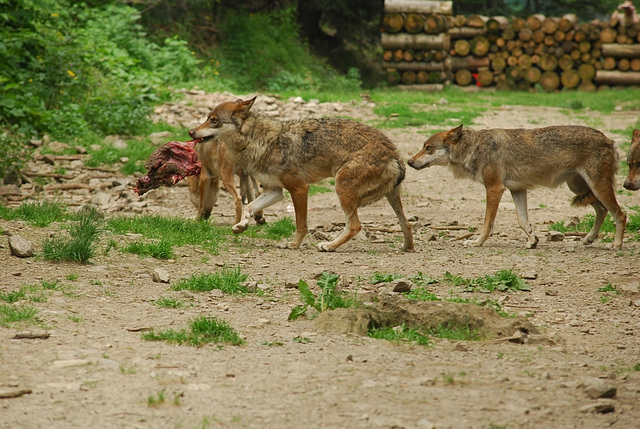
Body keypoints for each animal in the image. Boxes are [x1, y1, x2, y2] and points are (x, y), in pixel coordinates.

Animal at [188, 97, 416, 251]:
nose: (191, 132)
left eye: (214, 120)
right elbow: (249, 206)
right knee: (406, 224)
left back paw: (329, 246)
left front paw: (294, 244)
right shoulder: (274, 191)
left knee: (355, 226)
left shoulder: (299, 189)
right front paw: (241, 226)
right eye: (207, 118)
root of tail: (394, 153)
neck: (260, 140)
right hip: (390, 197)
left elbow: (300, 224)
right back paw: (406, 248)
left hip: (342, 188)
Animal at [410, 123, 624, 249]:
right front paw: (532, 241)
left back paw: (616, 245)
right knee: (602, 211)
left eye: (428, 148)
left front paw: (477, 242)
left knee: (620, 214)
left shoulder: (494, 189)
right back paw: (589, 238)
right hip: (581, 189)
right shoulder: (517, 190)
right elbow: (522, 220)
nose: (409, 162)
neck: (475, 148)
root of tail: (609, 139)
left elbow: (487, 223)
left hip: (597, 187)